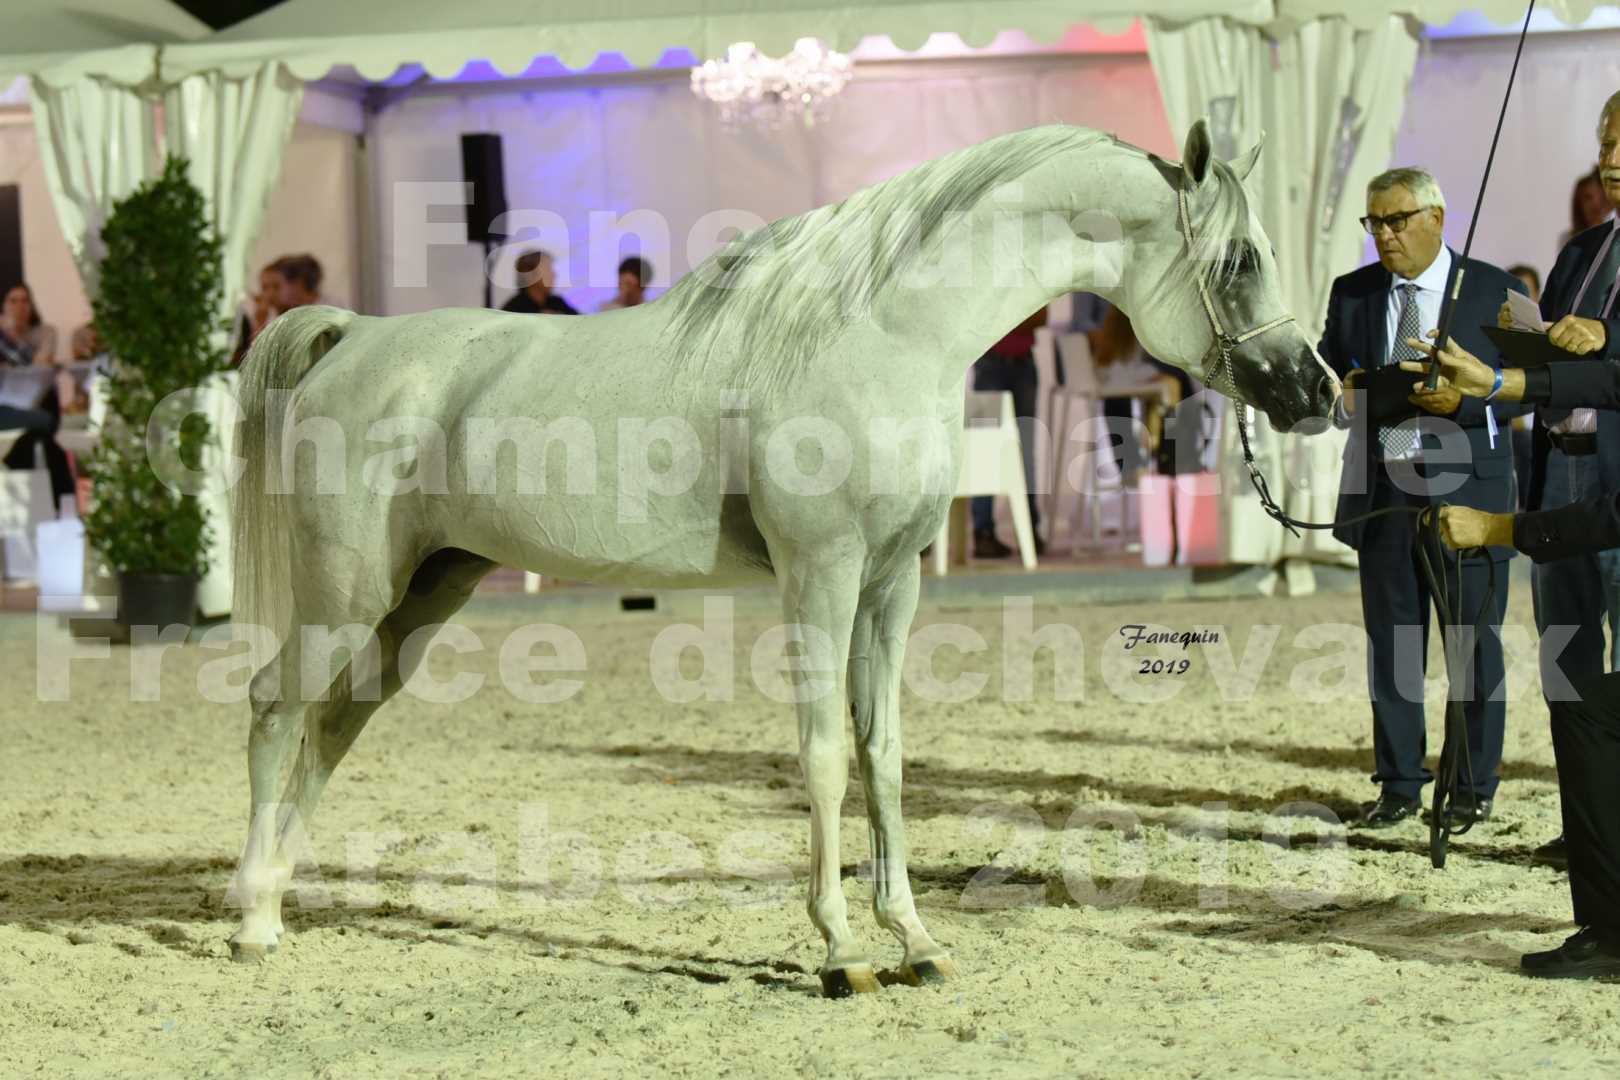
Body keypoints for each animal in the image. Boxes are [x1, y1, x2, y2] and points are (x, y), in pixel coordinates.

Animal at [228, 120, 1341, 997]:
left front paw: (915, 939)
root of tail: (352, 338)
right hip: (345, 593)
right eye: (1240, 261)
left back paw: (279, 899)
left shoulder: (893, 584)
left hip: (421, 599)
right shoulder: (823, 575)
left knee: (331, 730)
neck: (882, 335)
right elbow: (823, 756)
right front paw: (841, 951)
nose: (1316, 390)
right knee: (277, 711)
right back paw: (248, 922)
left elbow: (884, 753)